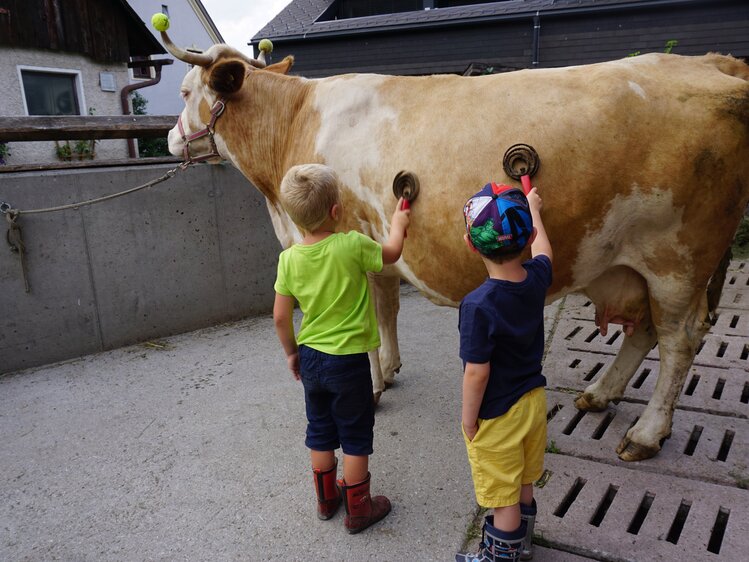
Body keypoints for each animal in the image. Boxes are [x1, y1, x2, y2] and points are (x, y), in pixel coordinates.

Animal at [155, 28, 744, 460]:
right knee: (643, 331)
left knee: (678, 340)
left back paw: (645, 433)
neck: (294, 122)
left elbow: (363, 323)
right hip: (636, 266)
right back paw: (601, 395)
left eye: (185, 93)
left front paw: (371, 385)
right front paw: (390, 370)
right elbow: (386, 311)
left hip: (678, 261)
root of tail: (713, 63)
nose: (169, 138)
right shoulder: (378, 248)